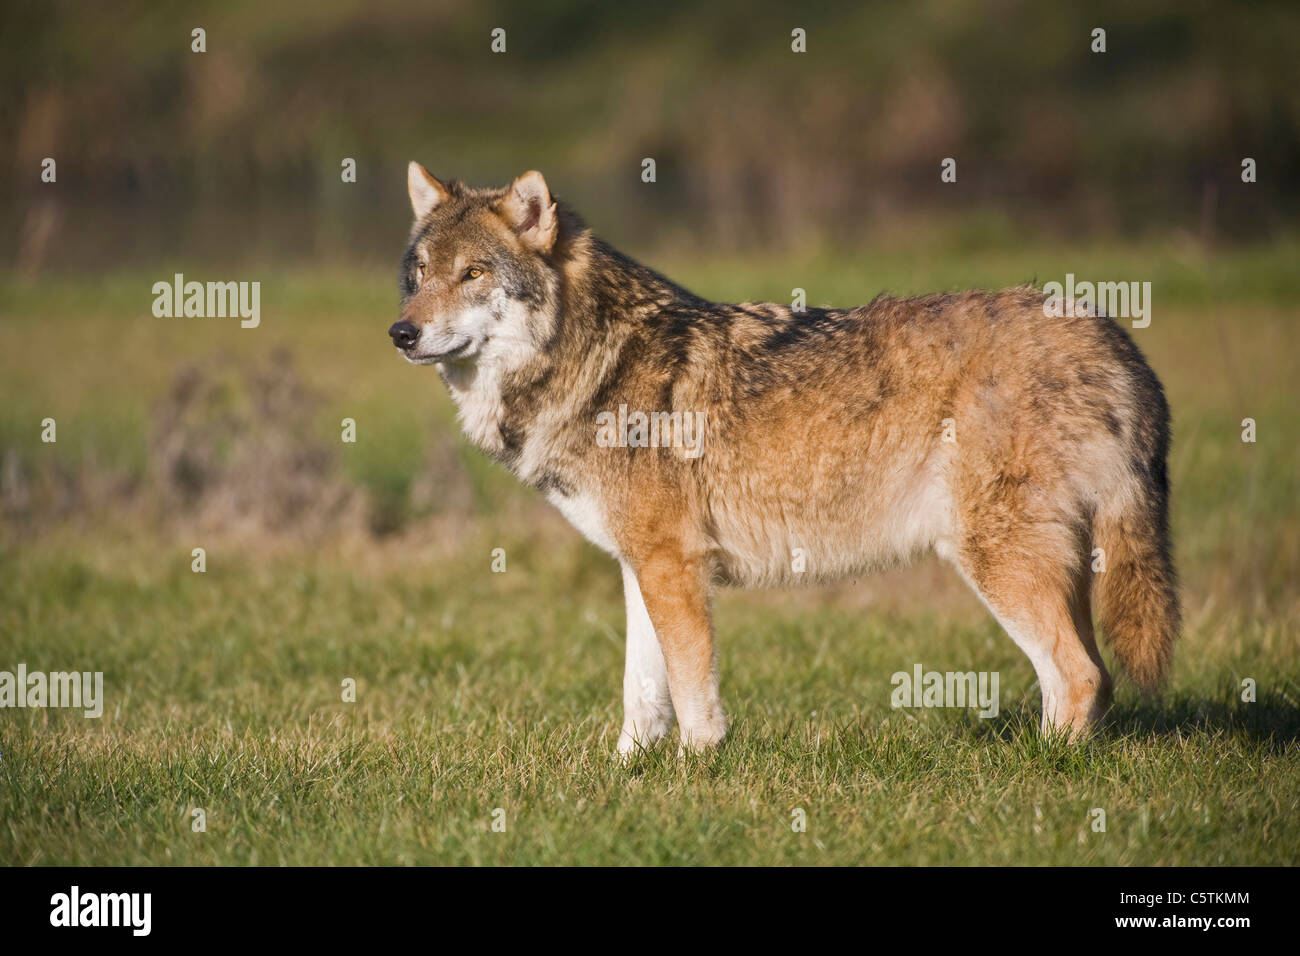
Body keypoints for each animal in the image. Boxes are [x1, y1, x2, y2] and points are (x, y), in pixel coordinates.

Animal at [391, 162, 1180, 754]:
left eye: (473, 274)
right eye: (420, 274)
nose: (401, 333)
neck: (598, 366)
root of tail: (1109, 332)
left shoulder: (673, 567)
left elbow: (692, 694)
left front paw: (696, 772)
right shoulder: (643, 566)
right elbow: (641, 696)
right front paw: (624, 776)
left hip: (996, 560)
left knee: (1080, 676)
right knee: (1087, 676)